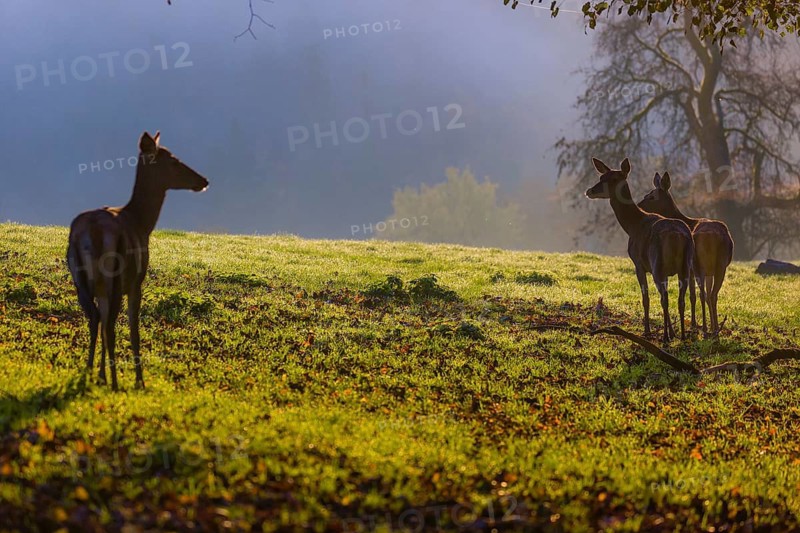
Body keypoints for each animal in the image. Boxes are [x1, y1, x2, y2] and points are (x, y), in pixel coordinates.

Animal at [66, 131, 209, 390]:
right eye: (174, 160)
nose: (204, 180)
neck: (143, 224)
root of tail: (91, 232)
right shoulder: (135, 283)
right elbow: (134, 329)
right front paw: (139, 380)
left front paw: (101, 375)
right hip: (114, 274)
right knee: (109, 325)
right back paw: (114, 382)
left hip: (79, 277)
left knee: (94, 318)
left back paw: (90, 372)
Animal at [586, 158, 694, 344]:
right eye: (601, 177)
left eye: (613, 178)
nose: (589, 190)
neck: (632, 226)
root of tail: (677, 236)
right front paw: (672, 332)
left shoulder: (638, 263)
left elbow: (645, 298)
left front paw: (647, 331)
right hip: (685, 266)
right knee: (680, 299)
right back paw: (682, 336)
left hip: (658, 263)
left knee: (664, 298)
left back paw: (665, 337)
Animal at [638, 171, 733, 336]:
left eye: (651, 196)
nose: (639, 205)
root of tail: (712, 237)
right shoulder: (703, 270)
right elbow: (702, 295)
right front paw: (703, 324)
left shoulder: (691, 268)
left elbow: (693, 295)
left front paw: (695, 324)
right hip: (716, 265)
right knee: (711, 294)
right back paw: (714, 329)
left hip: (703, 264)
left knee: (704, 294)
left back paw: (708, 329)